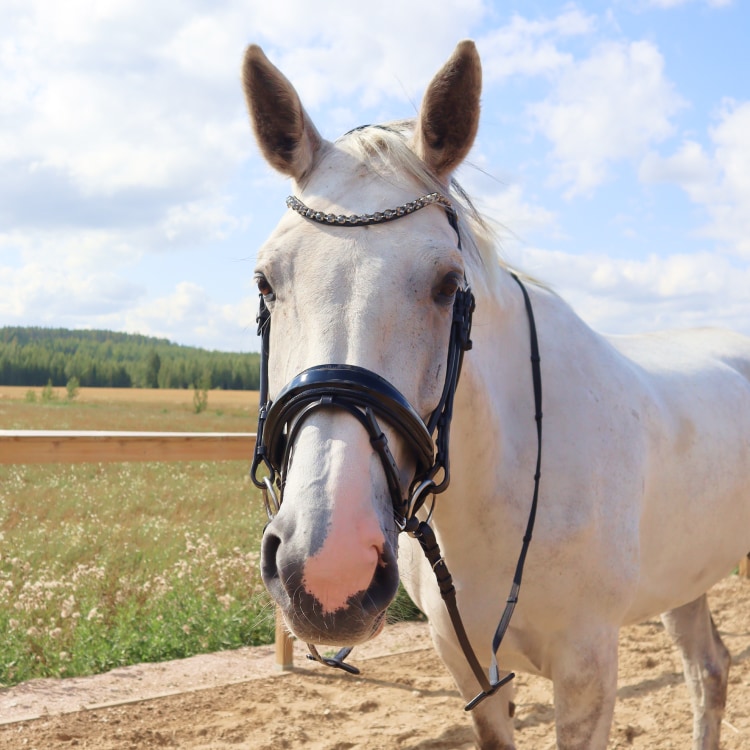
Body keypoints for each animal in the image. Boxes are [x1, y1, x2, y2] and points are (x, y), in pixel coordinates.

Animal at [242, 41, 750, 750]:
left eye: (446, 282)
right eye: (266, 280)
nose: (329, 568)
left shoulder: (588, 668)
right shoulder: (468, 668)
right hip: (686, 577)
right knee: (708, 670)